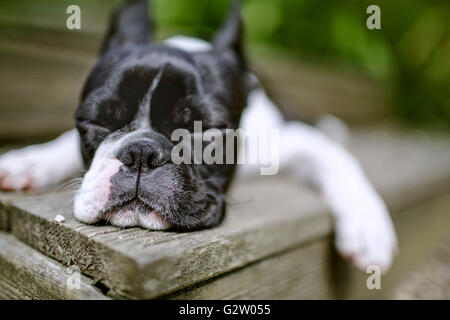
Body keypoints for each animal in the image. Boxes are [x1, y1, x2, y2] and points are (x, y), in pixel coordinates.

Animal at [0, 0, 398, 272]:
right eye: (94, 121)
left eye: (206, 130)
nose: (141, 152)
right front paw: (28, 161)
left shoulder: (289, 143)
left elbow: (336, 159)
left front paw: (368, 226)